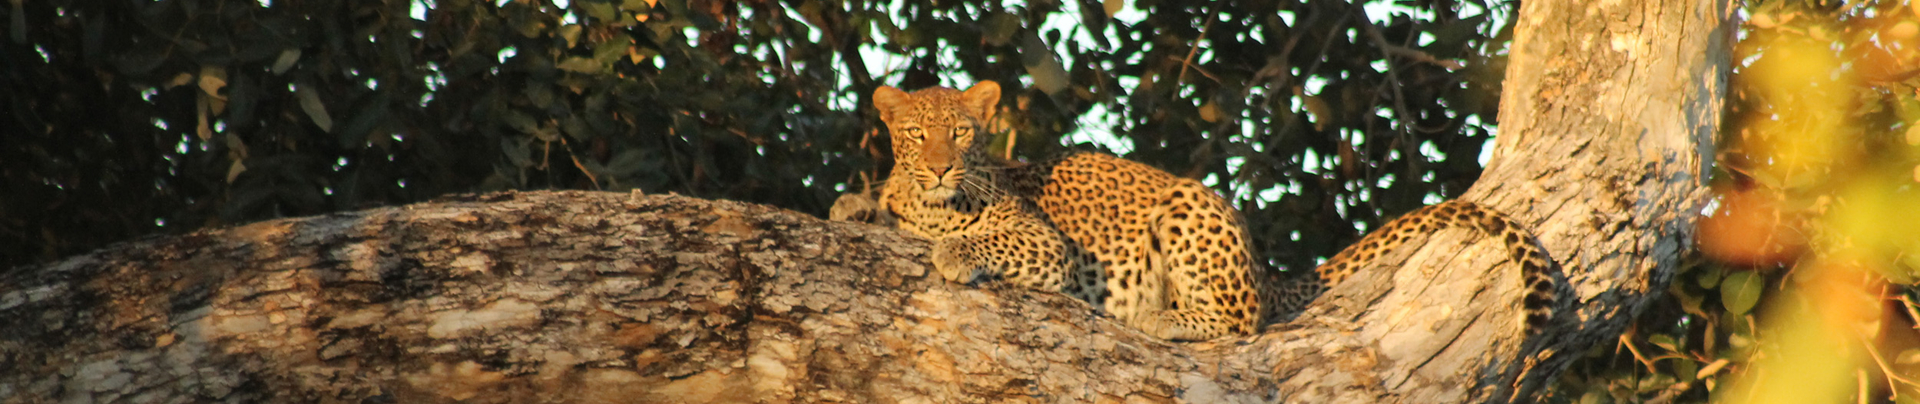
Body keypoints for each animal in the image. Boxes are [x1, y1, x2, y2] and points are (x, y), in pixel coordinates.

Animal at [853, 80, 1558, 340]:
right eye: (916, 134)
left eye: (961, 133)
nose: (940, 166)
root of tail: (1268, 273)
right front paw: (857, 207)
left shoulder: (1046, 244)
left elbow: (988, 239)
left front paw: (952, 250)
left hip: (1187, 206)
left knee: (1241, 319)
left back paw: (1165, 317)